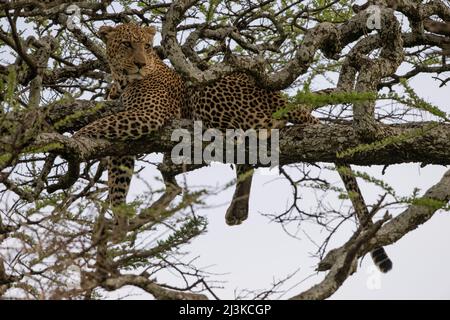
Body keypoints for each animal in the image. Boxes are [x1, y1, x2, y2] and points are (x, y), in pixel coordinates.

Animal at [74, 23, 390, 272]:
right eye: (127, 44)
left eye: (147, 46)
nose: (140, 64)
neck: (123, 80)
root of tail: (277, 94)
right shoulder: (126, 137)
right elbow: (118, 179)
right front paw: (119, 220)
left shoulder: (147, 115)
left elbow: (92, 128)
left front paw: (69, 141)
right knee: (247, 157)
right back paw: (237, 209)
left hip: (209, 94)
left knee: (257, 131)